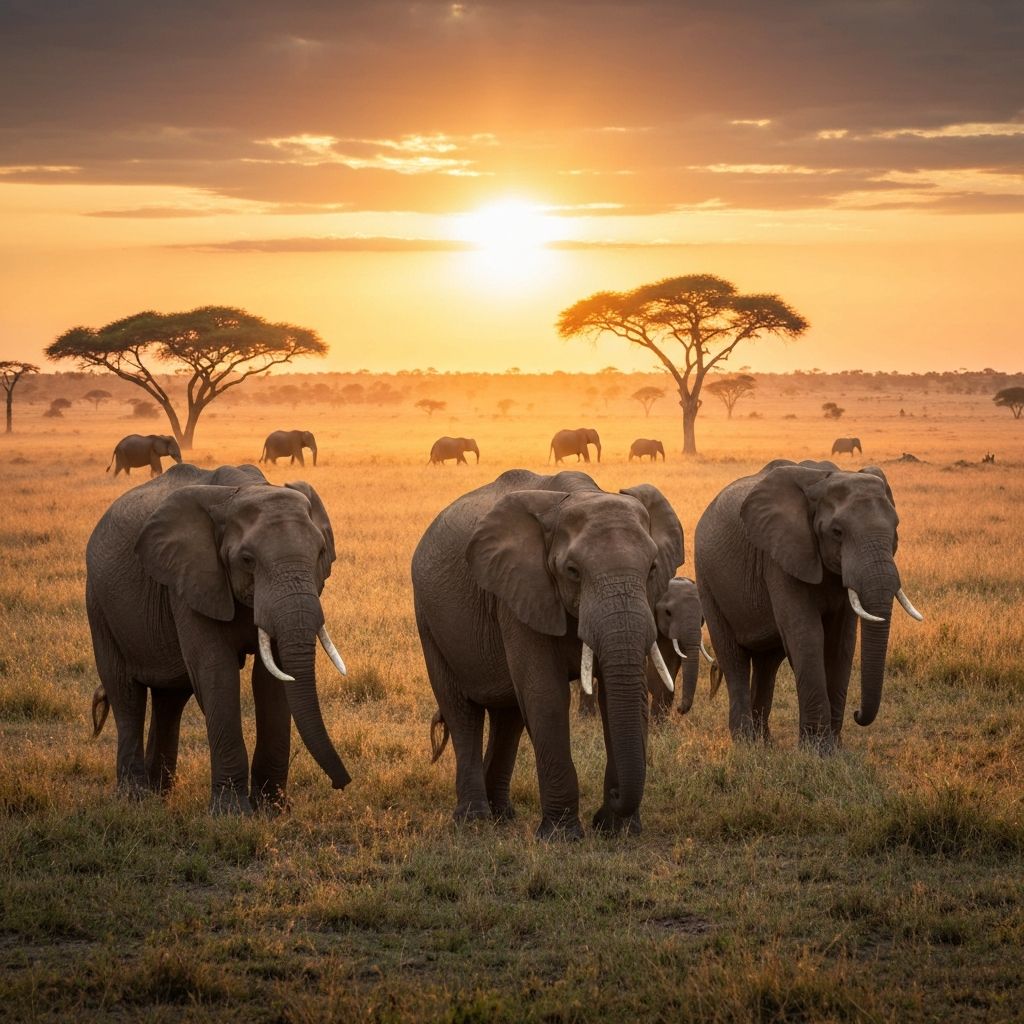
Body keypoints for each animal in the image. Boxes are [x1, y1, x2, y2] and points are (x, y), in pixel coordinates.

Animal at [86, 461, 351, 813]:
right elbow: (216, 672)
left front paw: (272, 810)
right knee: (125, 693)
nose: (342, 783)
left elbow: (273, 679)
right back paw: (136, 798)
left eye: (320, 552)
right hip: (99, 604)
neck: (246, 490)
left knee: (171, 697)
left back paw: (160, 795)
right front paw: (232, 813)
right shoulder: (191, 578)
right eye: (247, 560)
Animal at [412, 468, 683, 838]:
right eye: (573, 571)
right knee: (462, 710)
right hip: (429, 620)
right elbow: (545, 695)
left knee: (508, 715)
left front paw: (620, 831)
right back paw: (474, 820)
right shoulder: (520, 591)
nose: (612, 799)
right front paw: (561, 837)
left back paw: (503, 815)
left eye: (653, 568)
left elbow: (624, 694)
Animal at [694, 459, 923, 749]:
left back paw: (764, 745)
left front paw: (835, 748)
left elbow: (841, 642)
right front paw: (818, 751)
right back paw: (746, 744)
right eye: (837, 532)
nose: (857, 713)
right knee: (733, 657)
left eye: (896, 528)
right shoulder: (780, 556)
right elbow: (806, 634)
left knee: (767, 664)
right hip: (707, 580)